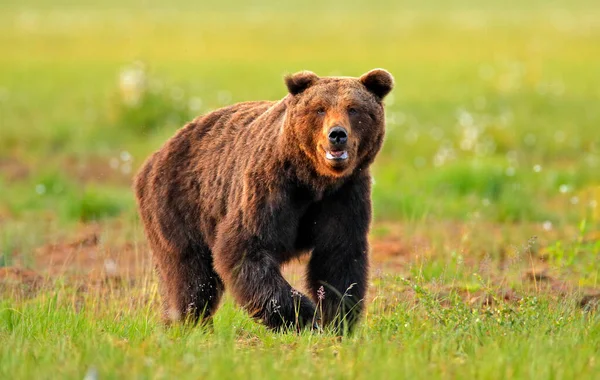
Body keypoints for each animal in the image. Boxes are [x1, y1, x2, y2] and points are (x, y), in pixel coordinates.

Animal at [134, 68, 394, 332]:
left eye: (354, 109)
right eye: (320, 109)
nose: (337, 134)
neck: (314, 179)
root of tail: (156, 155)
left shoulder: (343, 195)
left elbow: (338, 257)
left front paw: (338, 320)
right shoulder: (270, 188)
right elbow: (245, 247)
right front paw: (305, 315)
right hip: (179, 204)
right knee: (190, 277)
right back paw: (190, 324)